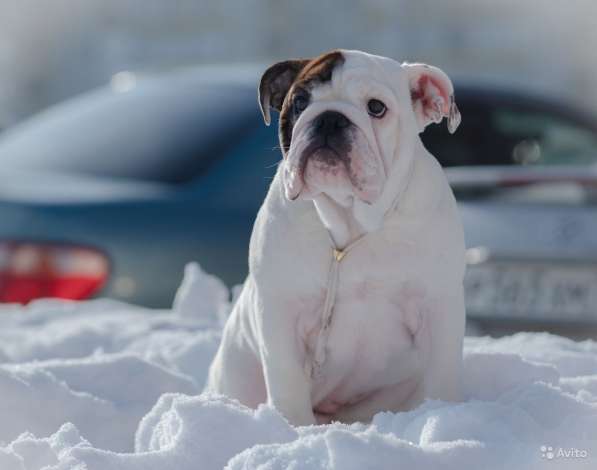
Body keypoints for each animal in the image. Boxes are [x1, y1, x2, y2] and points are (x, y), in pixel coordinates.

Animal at [207, 48, 468, 426]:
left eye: (376, 107)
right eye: (300, 101)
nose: (329, 119)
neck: (352, 221)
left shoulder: (438, 304)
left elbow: (443, 373)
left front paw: (441, 414)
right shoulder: (280, 308)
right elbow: (287, 380)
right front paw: (294, 427)